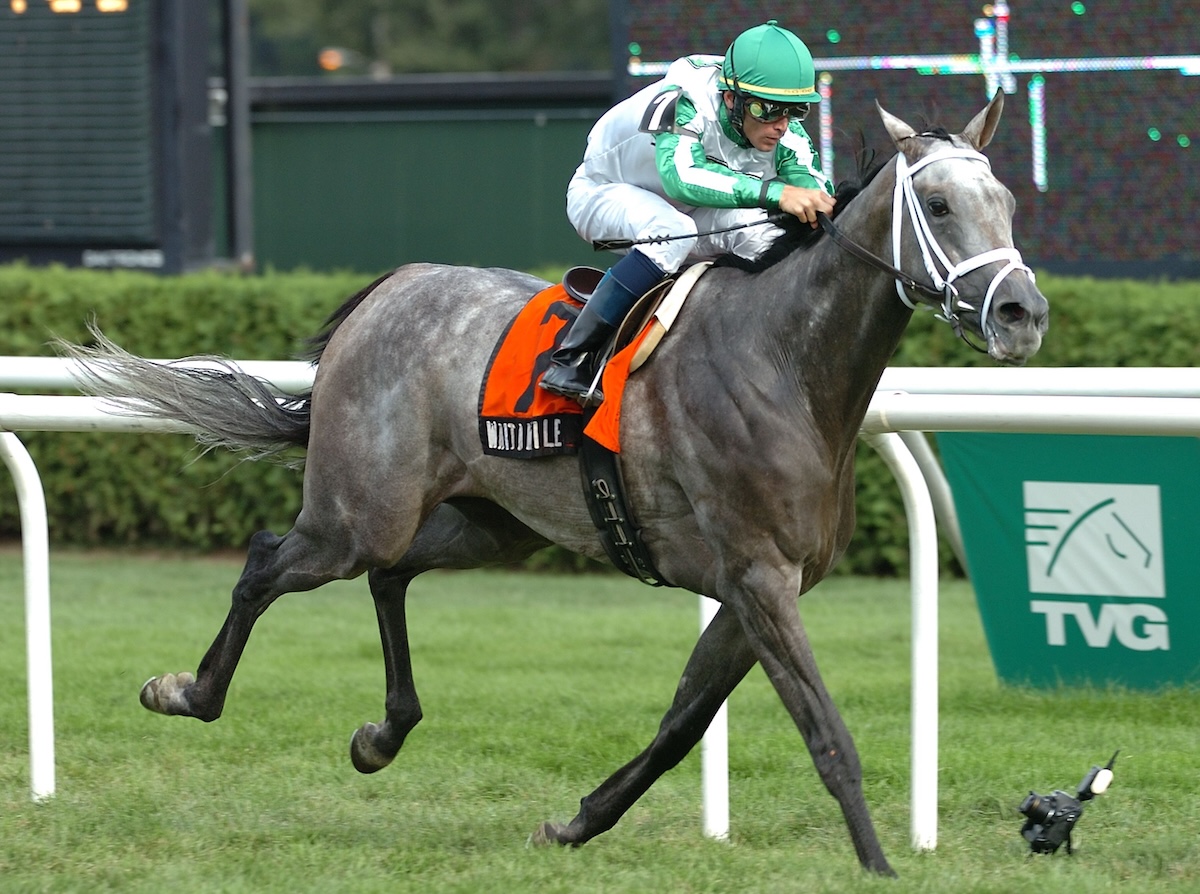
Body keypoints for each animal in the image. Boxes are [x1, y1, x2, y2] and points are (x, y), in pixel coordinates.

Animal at [65, 94, 1041, 873]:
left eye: (1006, 201)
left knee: (391, 573)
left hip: (488, 520)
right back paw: (187, 692)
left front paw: (574, 824)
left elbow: (682, 723)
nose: (1022, 311)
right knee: (270, 560)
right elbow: (827, 736)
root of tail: (387, 291)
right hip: (358, 511)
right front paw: (878, 865)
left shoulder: (761, 585)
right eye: (940, 204)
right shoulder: (759, 577)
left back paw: (383, 734)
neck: (786, 365)